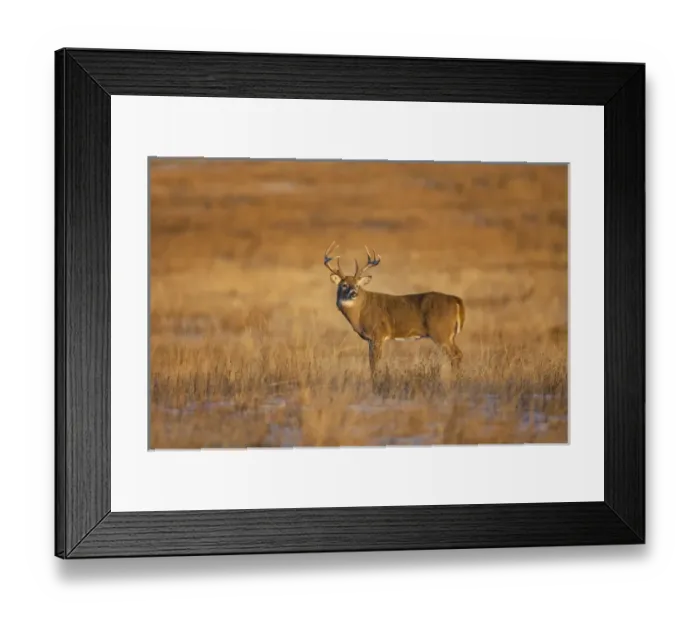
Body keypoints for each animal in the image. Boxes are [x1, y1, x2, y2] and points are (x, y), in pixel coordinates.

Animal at [323, 241, 465, 380]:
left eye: (357, 285)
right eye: (344, 285)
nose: (354, 293)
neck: (360, 312)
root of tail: (456, 300)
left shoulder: (377, 334)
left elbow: (374, 363)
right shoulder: (370, 339)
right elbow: (371, 362)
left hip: (441, 332)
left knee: (456, 355)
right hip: (448, 335)